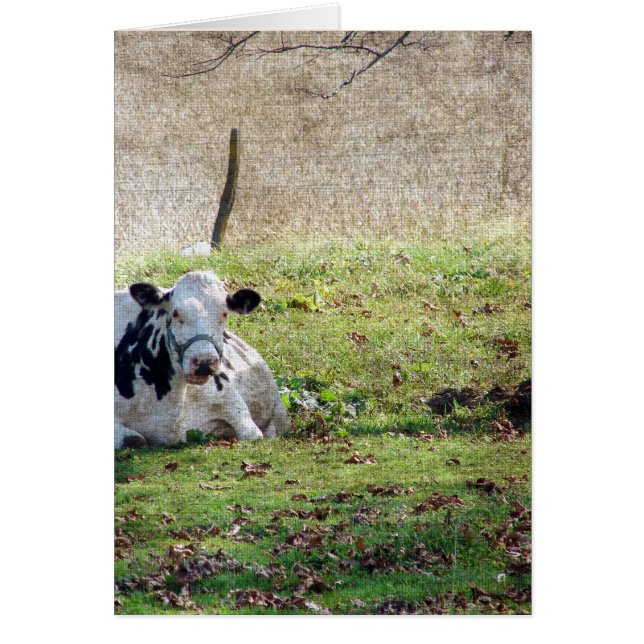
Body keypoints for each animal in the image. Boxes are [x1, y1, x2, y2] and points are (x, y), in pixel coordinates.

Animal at [114, 271, 289, 448]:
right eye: (176, 313)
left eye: (224, 313)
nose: (204, 362)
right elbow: (134, 440)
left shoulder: (231, 400)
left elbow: (253, 435)